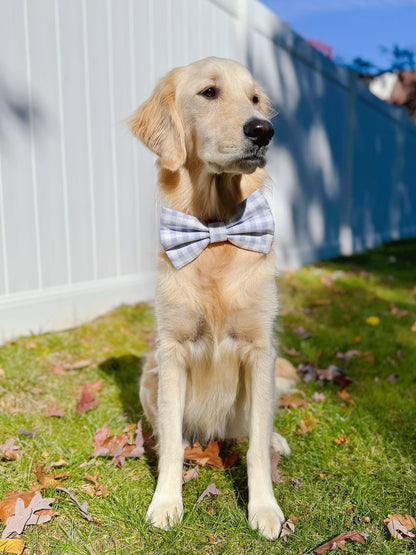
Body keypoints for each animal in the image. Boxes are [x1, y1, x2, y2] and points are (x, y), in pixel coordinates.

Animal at [128, 57, 294, 544]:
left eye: (255, 98)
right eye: (209, 93)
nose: (263, 130)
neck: (215, 231)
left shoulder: (260, 350)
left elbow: (255, 447)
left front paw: (264, 508)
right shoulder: (172, 350)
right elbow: (169, 449)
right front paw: (166, 503)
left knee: (253, 431)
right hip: (149, 375)